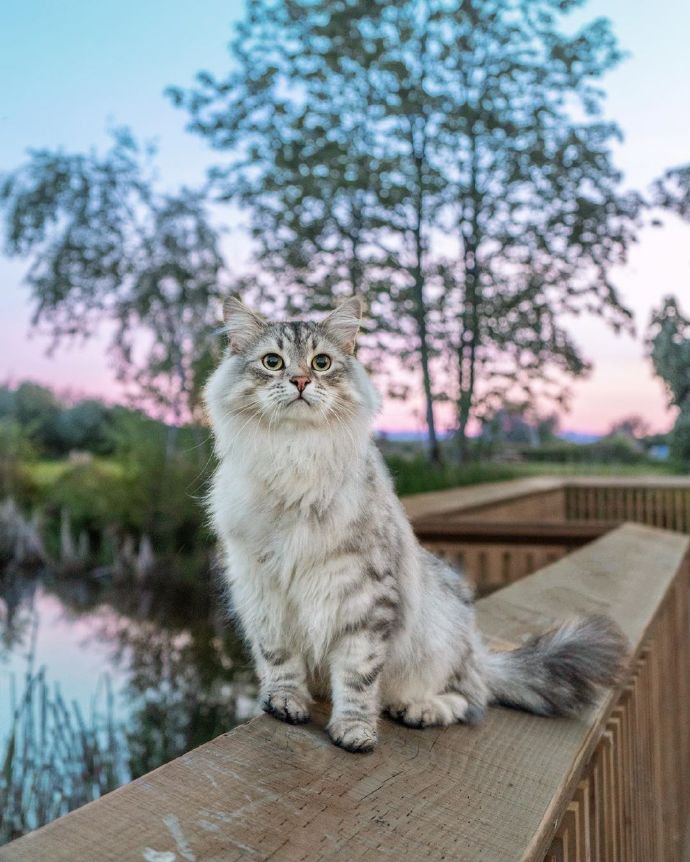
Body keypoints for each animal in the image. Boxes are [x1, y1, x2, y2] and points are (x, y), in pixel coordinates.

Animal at [203, 298, 624, 756]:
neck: (294, 458)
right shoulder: (263, 591)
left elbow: (357, 678)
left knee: (471, 700)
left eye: (321, 362)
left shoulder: (366, 599)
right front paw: (285, 702)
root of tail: (478, 653)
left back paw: (419, 710)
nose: (299, 380)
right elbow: (280, 661)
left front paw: (354, 731)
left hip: (443, 641)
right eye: (273, 362)